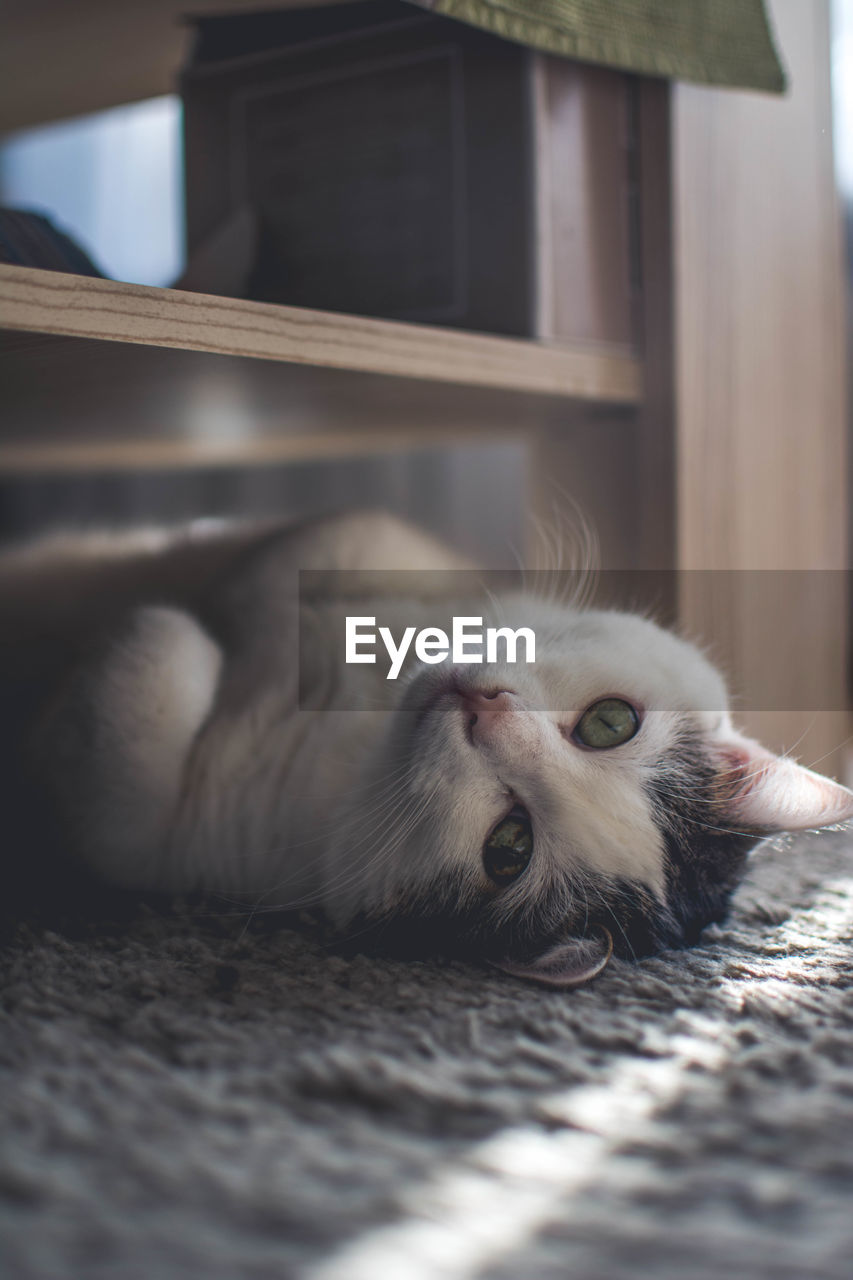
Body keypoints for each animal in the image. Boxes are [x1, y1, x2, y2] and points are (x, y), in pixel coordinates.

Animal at [1, 512, 850, 988]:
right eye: (611, 723)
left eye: (509, 848)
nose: (483, 710)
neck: (360, 723)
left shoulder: (162, 844)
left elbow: (154, 657)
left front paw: (179, 630)